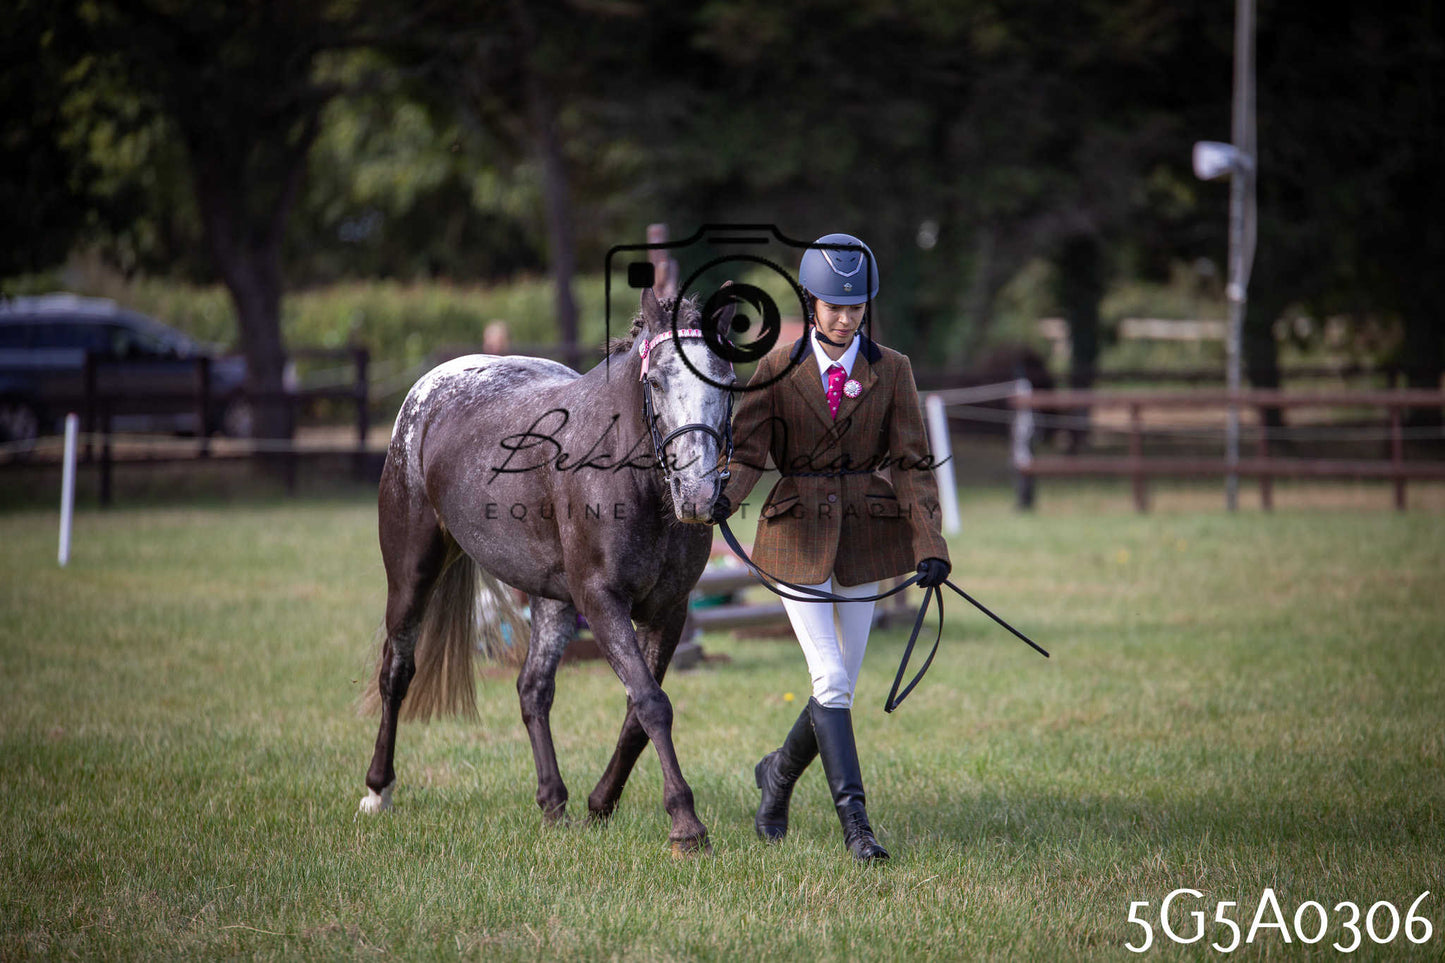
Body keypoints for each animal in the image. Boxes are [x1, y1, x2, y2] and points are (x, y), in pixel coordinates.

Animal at [358, 289, 736, 854]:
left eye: (728, 381)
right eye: (656, 382)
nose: (698, 494)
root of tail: (429, 391)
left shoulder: (669, 612)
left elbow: (637, 714)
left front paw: (601, 803)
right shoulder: (601, 602)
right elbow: (651, 702)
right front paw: (686, 824)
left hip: (552, 601)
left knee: (533, 688)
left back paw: (553, 802)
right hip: (411, 573)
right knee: (396, 672)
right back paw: (378, 790)